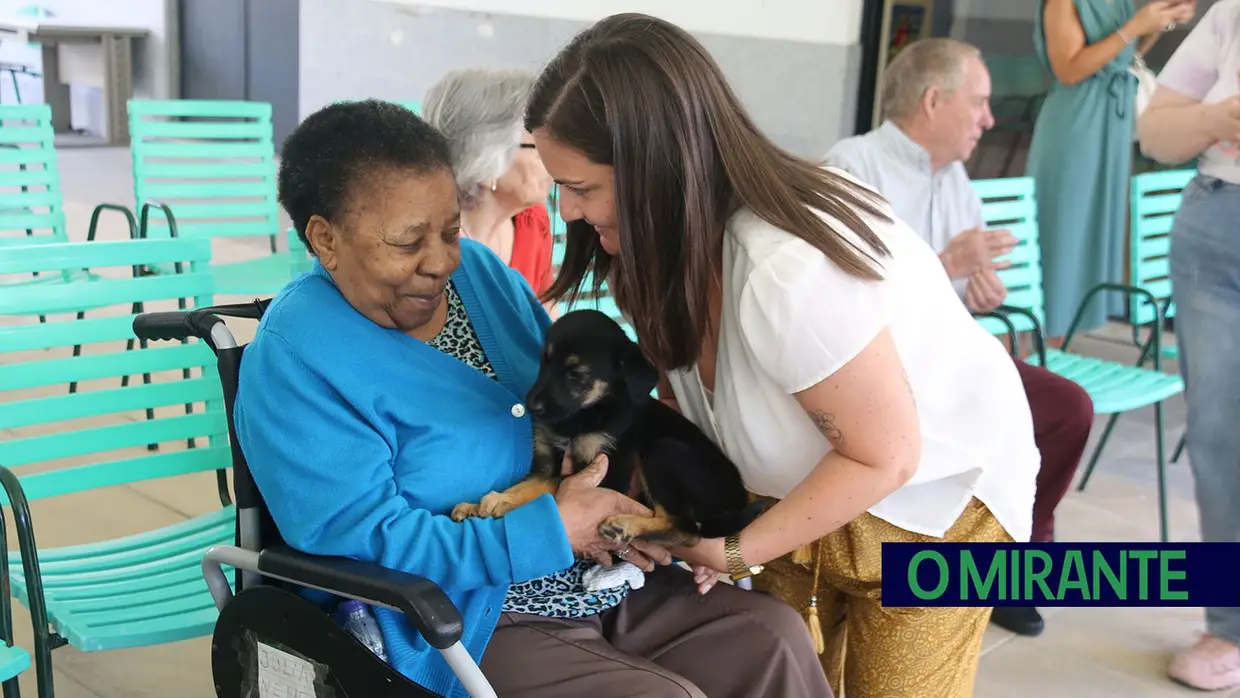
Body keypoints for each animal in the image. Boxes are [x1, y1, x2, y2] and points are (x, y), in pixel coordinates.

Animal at [451, 308, 763, 547]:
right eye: (544, 360)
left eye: (576, 373)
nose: (532, 407)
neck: (583, 416)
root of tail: (738, 499)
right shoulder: (548, 463)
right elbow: (529, 484)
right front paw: (479, 503)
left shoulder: (609, 471)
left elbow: (553, 487)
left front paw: (502, 502)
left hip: (664, 451)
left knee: (685, 530)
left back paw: (628, 524)